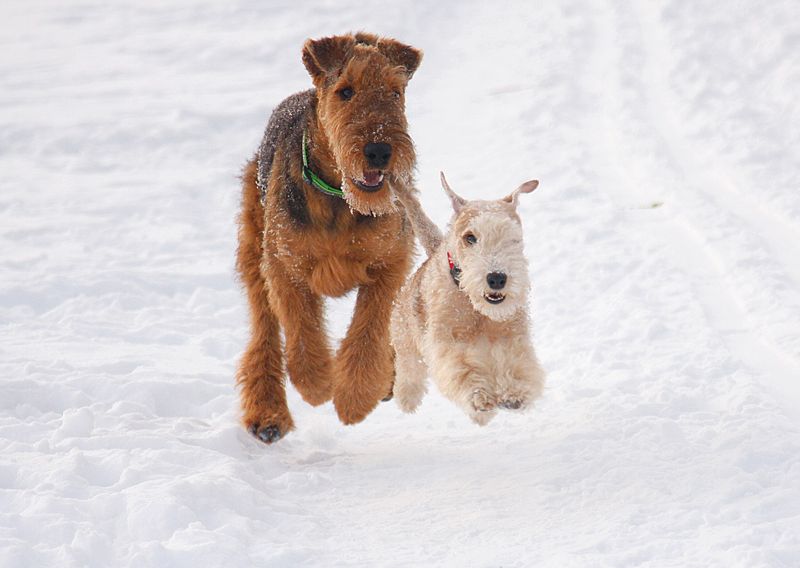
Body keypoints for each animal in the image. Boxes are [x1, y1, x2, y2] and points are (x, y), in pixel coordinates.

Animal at [234, 32, 422, 444]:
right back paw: (267, 413)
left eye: (395, 92)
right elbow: (301, 332)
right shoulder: (283, 266)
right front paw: (319, 384)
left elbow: (369, 327)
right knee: (264, 334)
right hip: (253, 251)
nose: (379, 150)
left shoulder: (392, 260)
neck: (340, 200)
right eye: (345, 91)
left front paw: (355, 397)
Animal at [392, 173, 548, 426]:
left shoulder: (512, 336)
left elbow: (517, 362)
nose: (497, 278)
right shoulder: (447, 343)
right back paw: (408, 400)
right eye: (470, 237)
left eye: (513, 237)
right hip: (404, 337)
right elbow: (461, 369)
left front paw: (515, 393)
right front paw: (480, 396)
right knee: (409, 371)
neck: (476, 308)